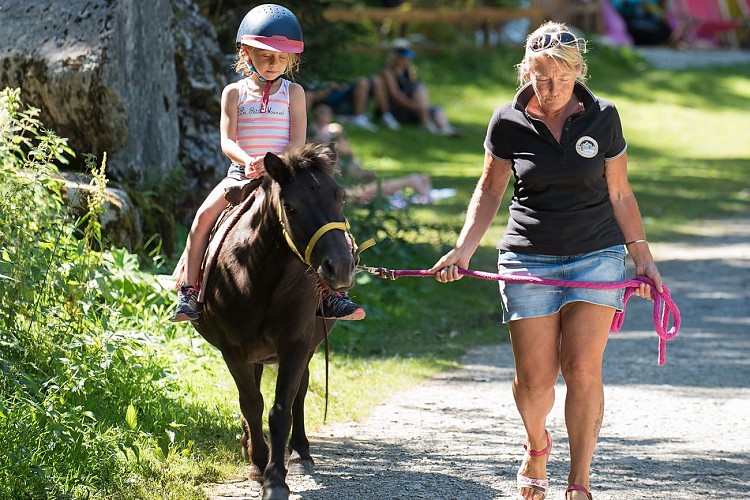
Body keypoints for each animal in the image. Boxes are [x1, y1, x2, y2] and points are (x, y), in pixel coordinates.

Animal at [192, 144, 354, 500]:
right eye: (290, 207)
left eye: (340, 197)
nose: (340, 267)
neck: (258, 276)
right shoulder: (233, 350)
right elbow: (252, 403)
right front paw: (258, 463)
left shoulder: (295, 345)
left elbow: (281, 409)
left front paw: (276, 478)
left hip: (306, 348)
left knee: (300, 394)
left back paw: (301, 452)